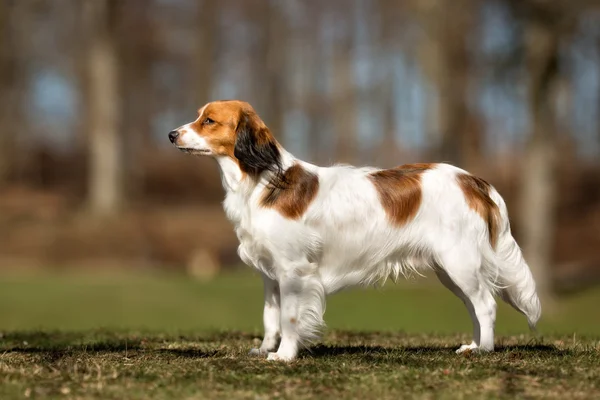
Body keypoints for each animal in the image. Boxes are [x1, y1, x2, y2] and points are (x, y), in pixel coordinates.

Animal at [166, 101, 540, 362]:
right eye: (200, 116)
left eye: (208, 120)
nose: (171, 134)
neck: (261, 180)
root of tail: (473, 180)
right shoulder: (270, 275)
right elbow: (271, 317)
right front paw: (264, 349)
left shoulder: (293, 271)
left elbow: (289, 317)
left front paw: (284, 355)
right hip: (451, 270)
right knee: (475, 307)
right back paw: (474, 344)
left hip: (459, 262)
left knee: (486, 304)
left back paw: (484, 350)